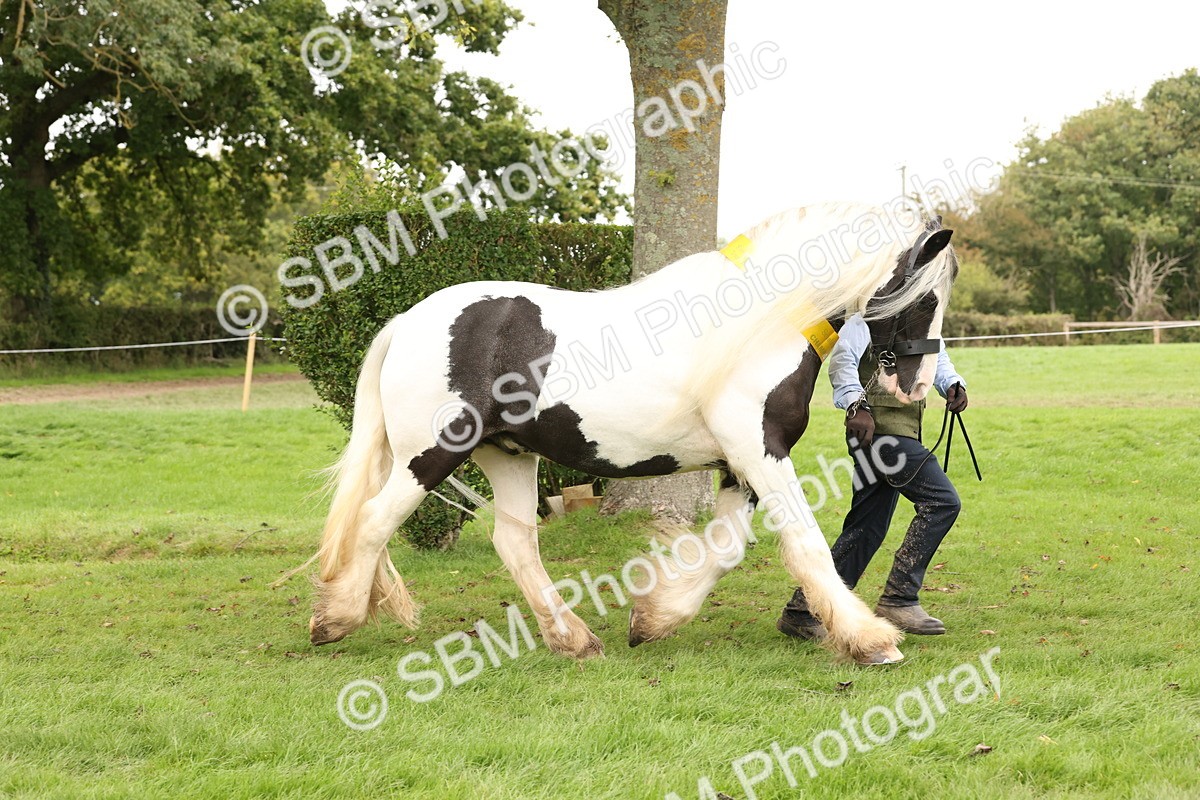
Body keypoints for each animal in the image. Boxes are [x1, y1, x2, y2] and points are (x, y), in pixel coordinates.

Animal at [303, 201, 958, 666]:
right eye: (925, 297)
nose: (916, 385)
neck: (762, 321)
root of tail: (408, 321)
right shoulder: (760, 451)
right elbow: (807, 544)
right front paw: (871, 640)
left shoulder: (739, 464)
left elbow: (726, 550)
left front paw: (654, 619)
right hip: (431, 453)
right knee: (373, 522)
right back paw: (335, 619)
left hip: (508, 456)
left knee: (515, 543)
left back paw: (573, 639)